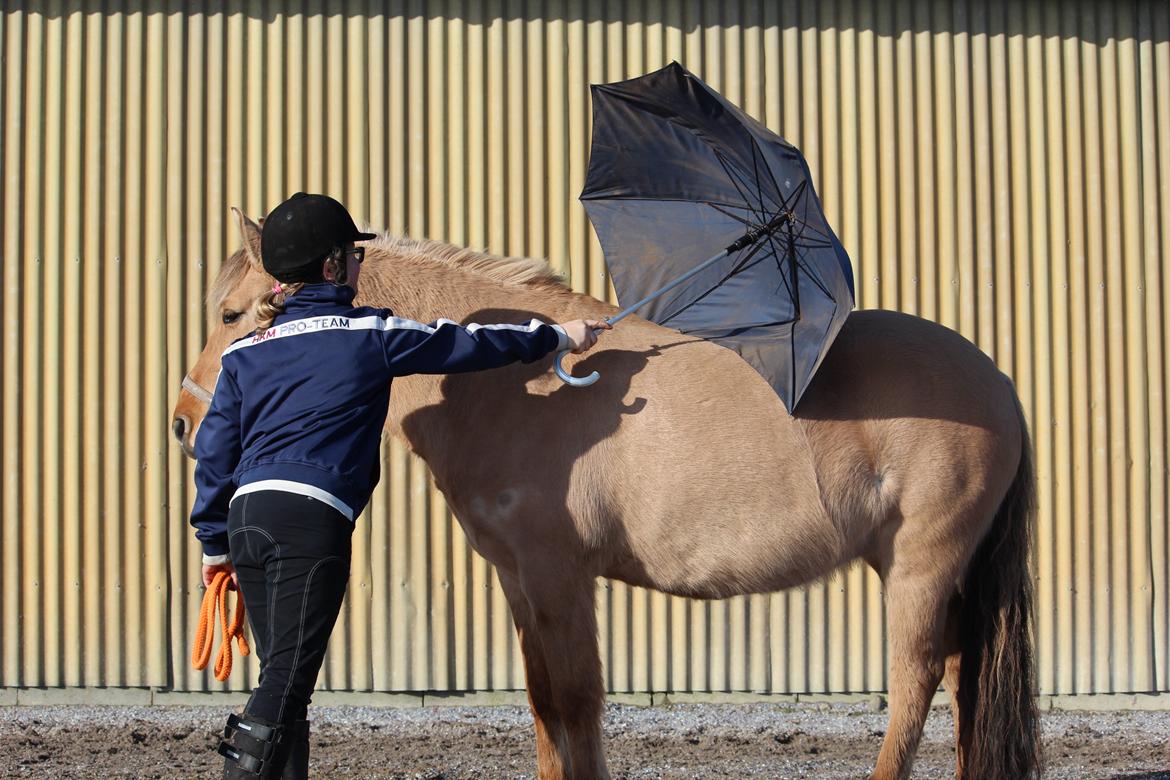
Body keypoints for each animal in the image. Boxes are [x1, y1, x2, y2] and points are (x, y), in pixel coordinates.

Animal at [170, 211, 1034, 780]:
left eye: (230, 313)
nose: (183, 422)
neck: (512, 379)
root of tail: (995, 381)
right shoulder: (519, 579)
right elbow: (546, 703)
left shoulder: (560, 576)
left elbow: (580, 699)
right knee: (965, 679)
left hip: (921, 566)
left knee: (916, 681)